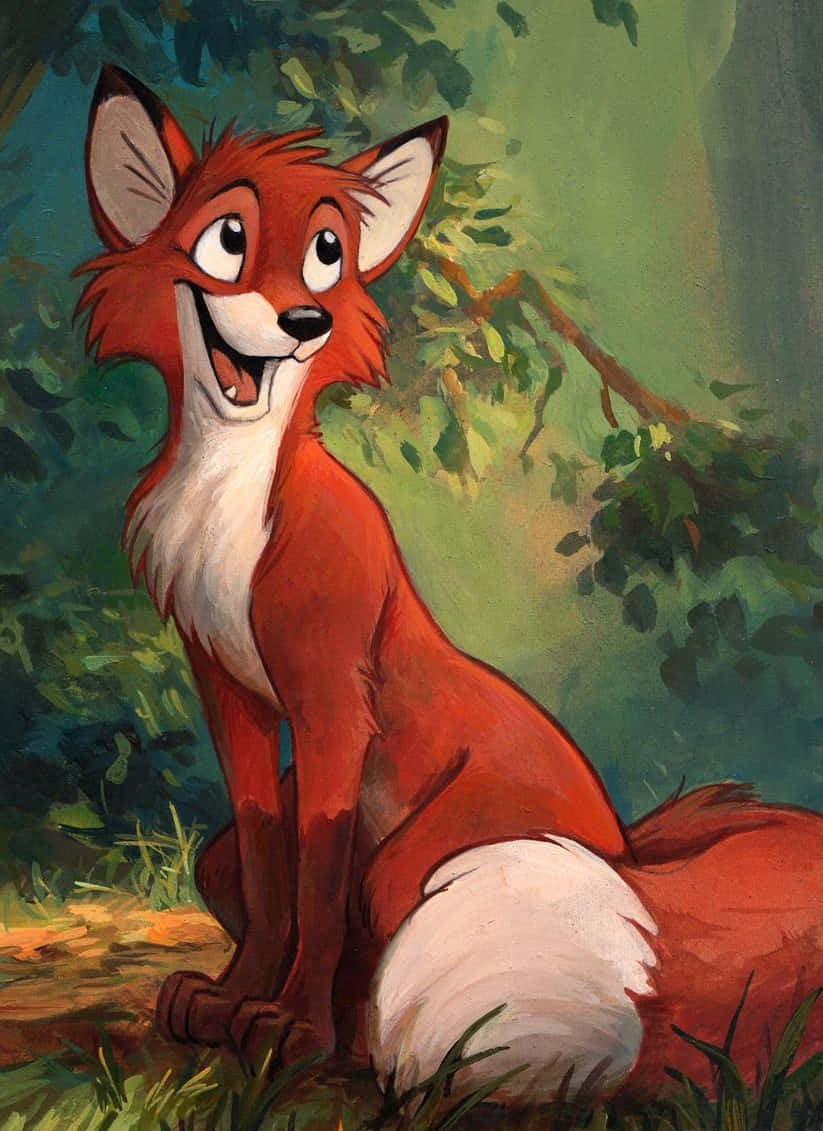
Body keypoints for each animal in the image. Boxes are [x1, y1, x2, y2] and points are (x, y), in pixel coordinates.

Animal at [77, 64, 823, 1104]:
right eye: (228, 239)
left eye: (326, 255)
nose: (303, 321)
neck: (229, 498)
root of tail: (631, 863)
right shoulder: (227, 688)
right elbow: (269, 871)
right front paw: (229, 999)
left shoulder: (330, 691)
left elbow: (314, 879)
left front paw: (290, 1026)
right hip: (259, 853)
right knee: (249, 874)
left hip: (412, 863)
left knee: (377, 933)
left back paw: (353, 1038)